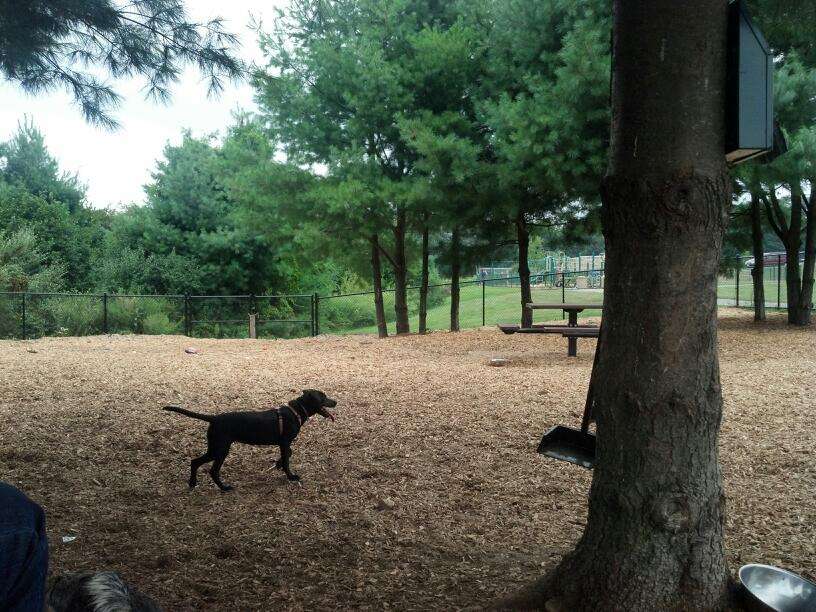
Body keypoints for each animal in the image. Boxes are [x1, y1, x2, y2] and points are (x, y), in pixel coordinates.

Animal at [164, 390, 336, 490]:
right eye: (323, 397)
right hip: (220, 449)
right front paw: (290, 476)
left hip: (215, 448)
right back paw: (224, 488)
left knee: (195, 462)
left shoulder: (283, 444)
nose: (335, 402)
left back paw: (192, 483)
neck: (296, 411)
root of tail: (214, 418)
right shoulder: (285, 442)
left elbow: (288, 454)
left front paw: (278, 464)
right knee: (211, 470)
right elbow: (288, 459)